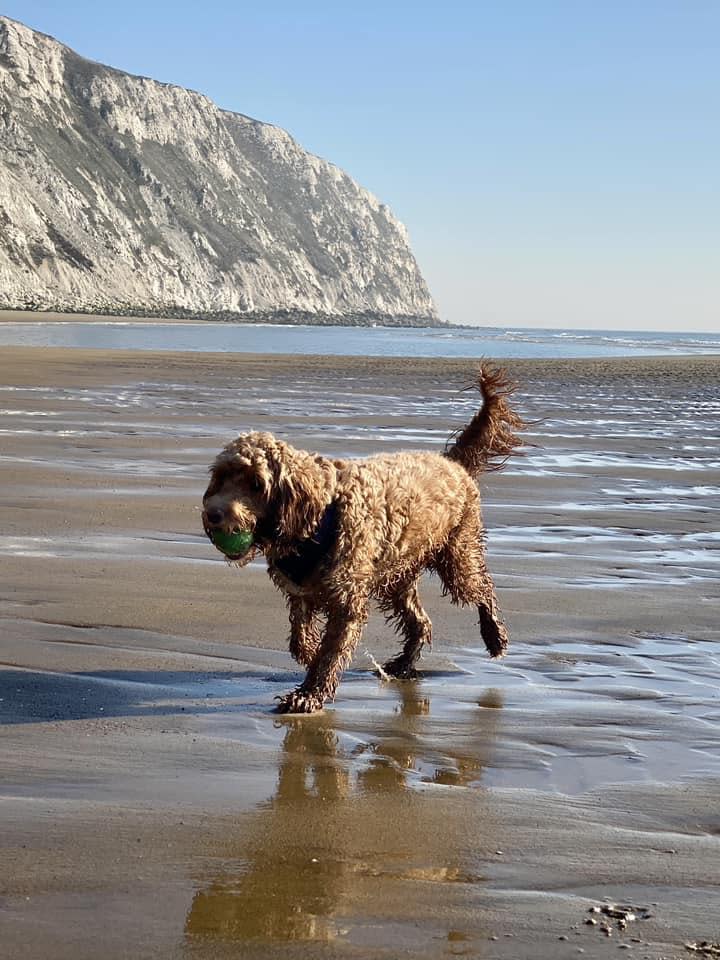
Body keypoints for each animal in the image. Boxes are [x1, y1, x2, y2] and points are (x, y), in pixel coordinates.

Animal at [202, 366, 524, 712]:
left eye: (256, 484)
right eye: (221, 477)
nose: (213, 514)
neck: (320, 515)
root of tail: (452, 462)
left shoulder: (347, 602)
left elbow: (331, 653)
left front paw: (309, 695)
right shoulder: (301, 591)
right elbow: (299, 637)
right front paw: (309, 654)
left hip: (457, 556)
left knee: (482, 588)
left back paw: (494, 636)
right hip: (398, 577)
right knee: (420, 622)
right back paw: (403, 664)